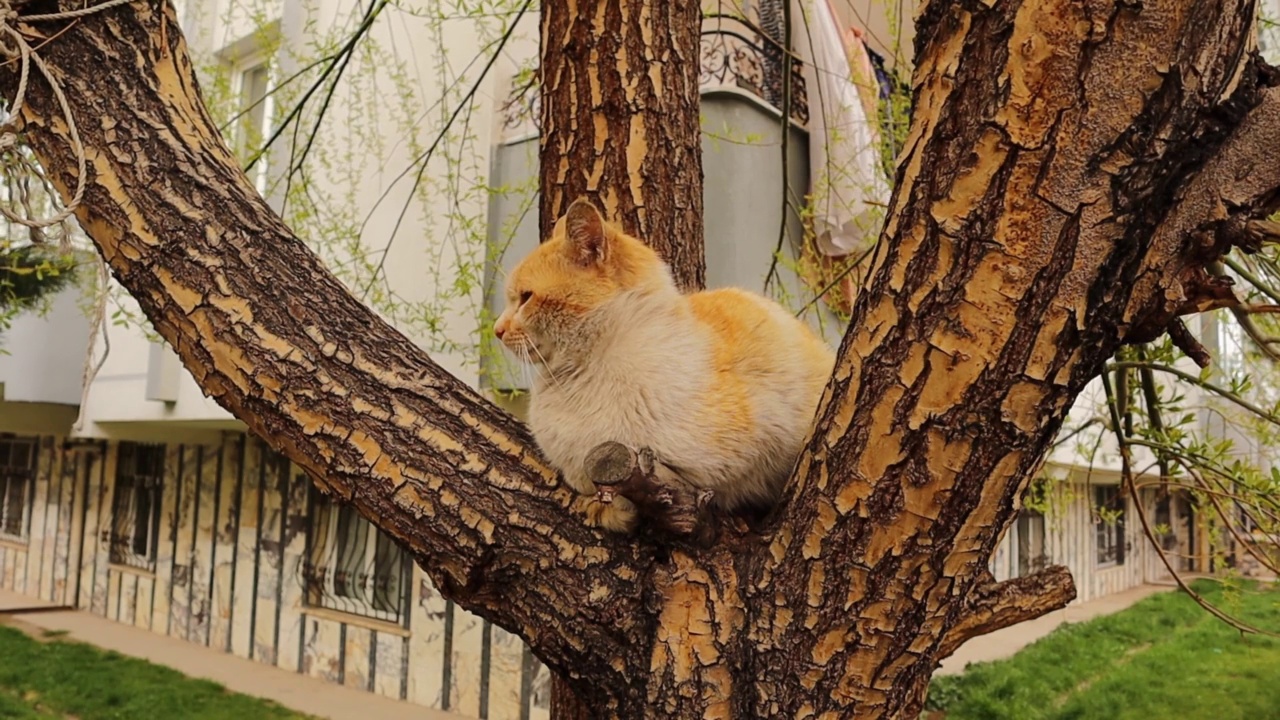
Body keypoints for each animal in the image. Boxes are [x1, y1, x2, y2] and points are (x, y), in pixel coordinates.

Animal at [491, 198, 839, 530]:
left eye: (525, 297)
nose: (497, 330)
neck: (580, 374)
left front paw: (614, 508)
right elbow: (587, 483)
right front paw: (601, 507)